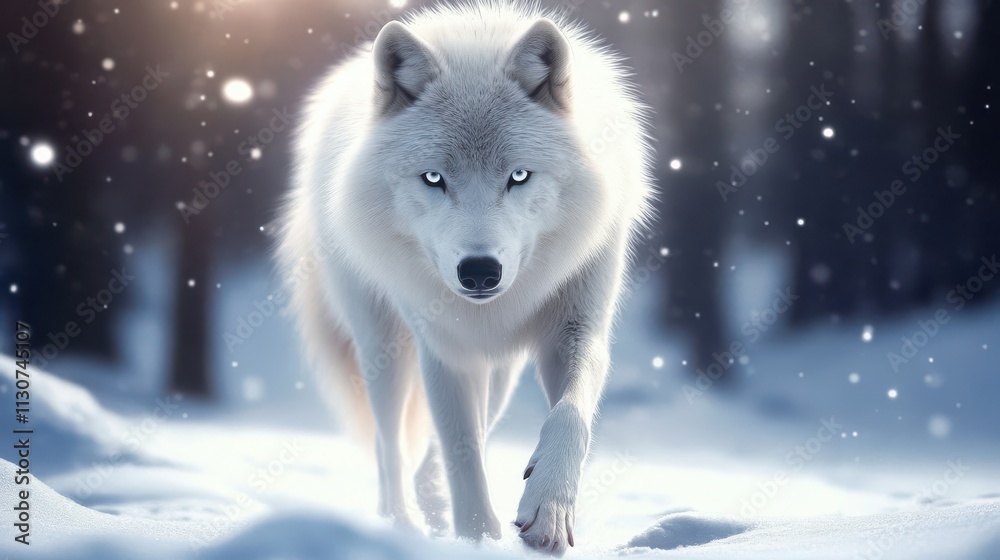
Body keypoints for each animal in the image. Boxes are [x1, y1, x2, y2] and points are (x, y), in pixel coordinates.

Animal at [277, 2, 654, 555]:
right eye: (434, 178)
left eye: (518, 176)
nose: (479, 271)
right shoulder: (445, 348)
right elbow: (462, 452)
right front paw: (477, 538)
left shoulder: (576, 329)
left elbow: (569, 415)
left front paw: (548, 511)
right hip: (382, 349)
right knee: (389, 444)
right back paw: (400, 525)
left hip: (499, 370)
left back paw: (431, 505)